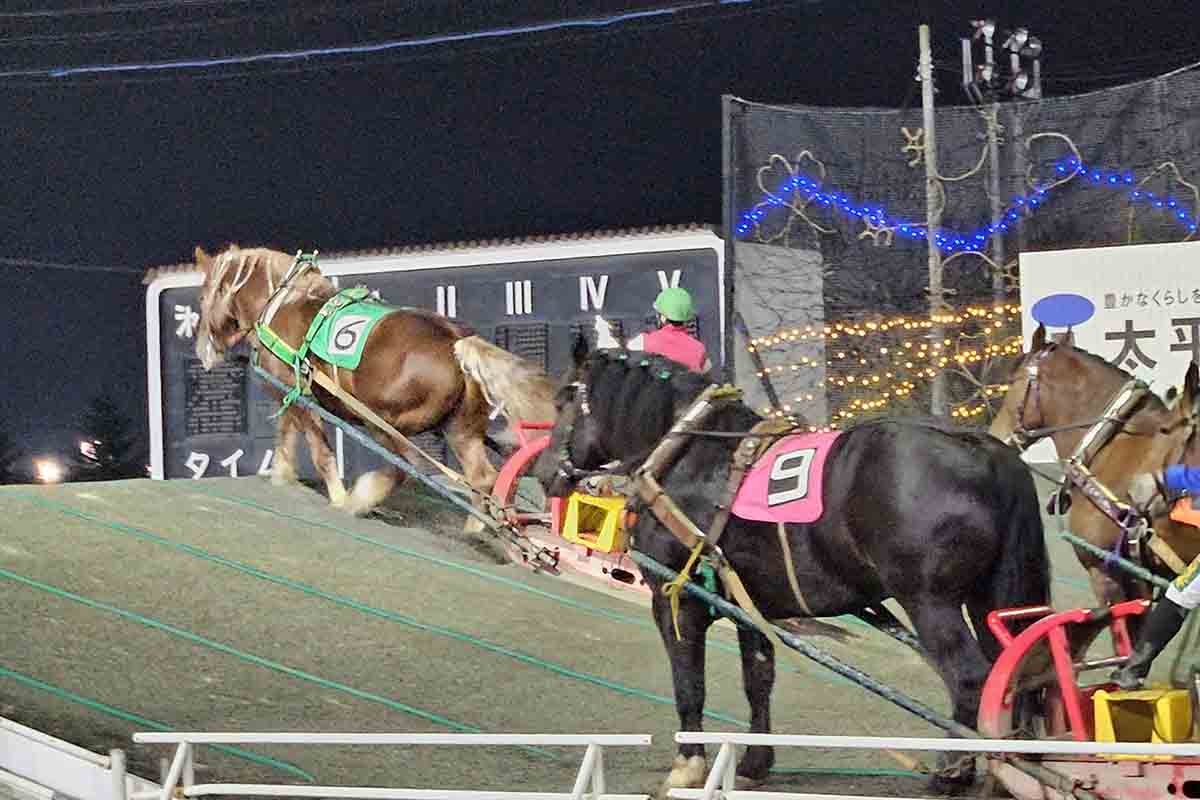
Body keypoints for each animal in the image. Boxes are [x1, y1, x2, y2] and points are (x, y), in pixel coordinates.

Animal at [193, 244, 556, 516]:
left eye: (202, 296)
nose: (203, 351)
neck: (284, 304)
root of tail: (456, 342)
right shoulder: (289, 394)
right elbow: (285, 437)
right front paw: (281, 476)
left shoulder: (302, 399)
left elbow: (321, 452)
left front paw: (339, 497)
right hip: (460, 429)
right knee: (482, 477)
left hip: (383, 421)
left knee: (404, 466)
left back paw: (362, 498)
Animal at [531, 339, 1051, 794]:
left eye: (561, 400)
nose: (543, 471)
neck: (692, 456)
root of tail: (983, 448)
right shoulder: (749, 605)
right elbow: (757, 680)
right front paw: (754, 762)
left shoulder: (676, 598)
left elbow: (689, 682)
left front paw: (688, 764)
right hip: (990, 600)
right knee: (1018, 670)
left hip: (931, 603)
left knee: (971, 679)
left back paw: (952, 771)